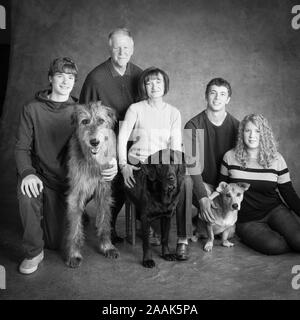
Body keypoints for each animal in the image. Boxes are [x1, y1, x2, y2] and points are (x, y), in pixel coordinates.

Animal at [65, 102, 119, 268]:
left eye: (101, 121)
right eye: (85, 121)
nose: (94, 142)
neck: (92, 162)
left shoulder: (104, 190)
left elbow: (105, 219)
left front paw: (107, 246)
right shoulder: (76, 193)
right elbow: (75, 227)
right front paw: (74, 254)